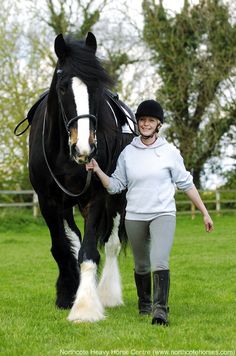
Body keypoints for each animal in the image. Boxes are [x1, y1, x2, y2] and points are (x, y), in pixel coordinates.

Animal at [28, 32, 135, 322]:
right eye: (63, 87)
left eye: (96, 87)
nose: (84, 148)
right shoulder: (49, 201)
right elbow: (63, 248)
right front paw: (67, 294)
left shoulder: (95, 197)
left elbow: (89, 251)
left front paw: (85, 306)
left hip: (118, 199)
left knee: (110, 245)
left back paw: (107, 294)